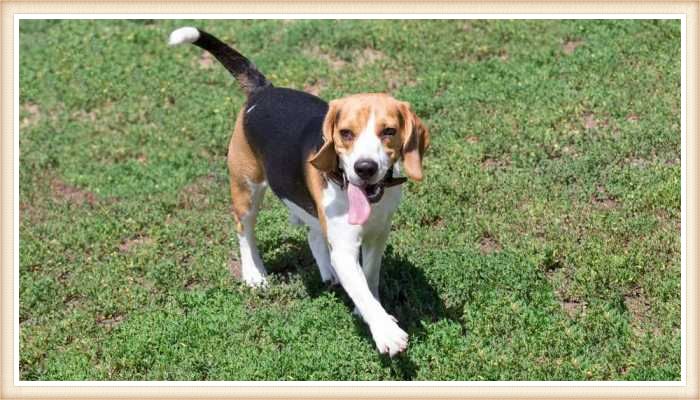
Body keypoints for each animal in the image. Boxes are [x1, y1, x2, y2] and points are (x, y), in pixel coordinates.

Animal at [171, 26, 426, 354]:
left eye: (389, 131)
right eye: (346, 133)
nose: (365, 168)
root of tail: (263, 90)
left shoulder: (377, 236)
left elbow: (369, 278)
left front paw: (370, 310)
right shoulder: (345, 249)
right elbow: (359, 284)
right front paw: (385, 331)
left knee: (313, 233)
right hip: (246, 187)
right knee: (244, 230)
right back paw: (253, 274)